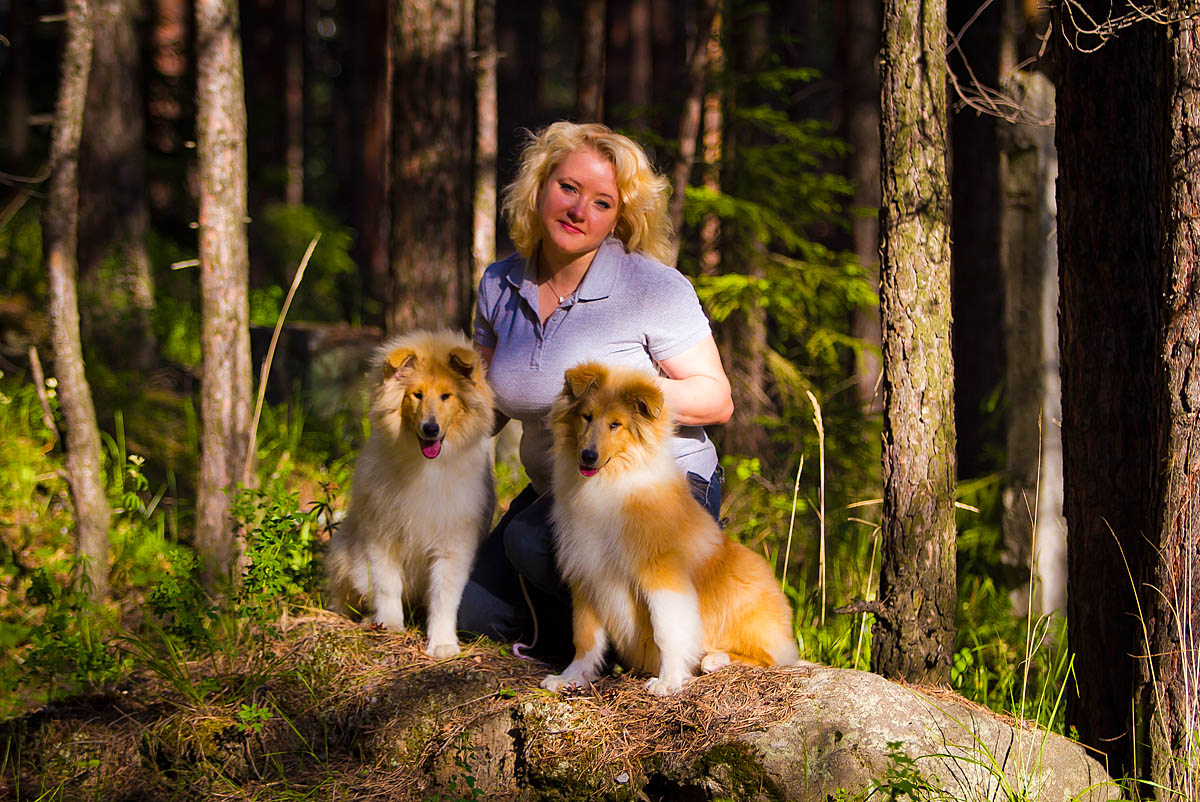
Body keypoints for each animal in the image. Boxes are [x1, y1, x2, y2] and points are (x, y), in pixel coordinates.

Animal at [326, 326, 494, 657]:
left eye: (446, 396)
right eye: (416, 394)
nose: (430, 429)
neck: (427, 468)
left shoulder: (453, 544)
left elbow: (444, 597)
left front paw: (442, 644)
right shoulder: (380, 535)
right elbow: (386, 585)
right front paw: (390, 625)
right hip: (344, 553)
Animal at [544, 362, 796, 696]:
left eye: (615, 425)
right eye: (586, 416)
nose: (588, 456)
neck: (609, 481)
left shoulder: (661, 573)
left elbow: (668, 631)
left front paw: (668, 681)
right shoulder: (587, 572)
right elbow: (585, 637)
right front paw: (569, 678)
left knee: (771, 657)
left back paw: (715, 658)